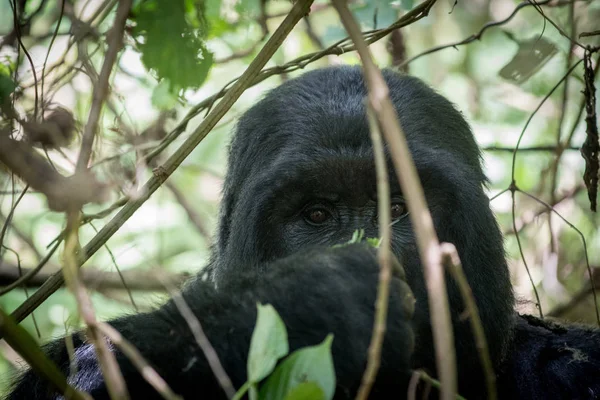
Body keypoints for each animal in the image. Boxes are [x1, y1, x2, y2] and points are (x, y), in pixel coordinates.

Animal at [7, 65, 600, 400]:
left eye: (399, 207)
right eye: (316, 215)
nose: (376, 252)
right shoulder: (72, 363)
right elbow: (88, 372)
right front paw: (322, 299)